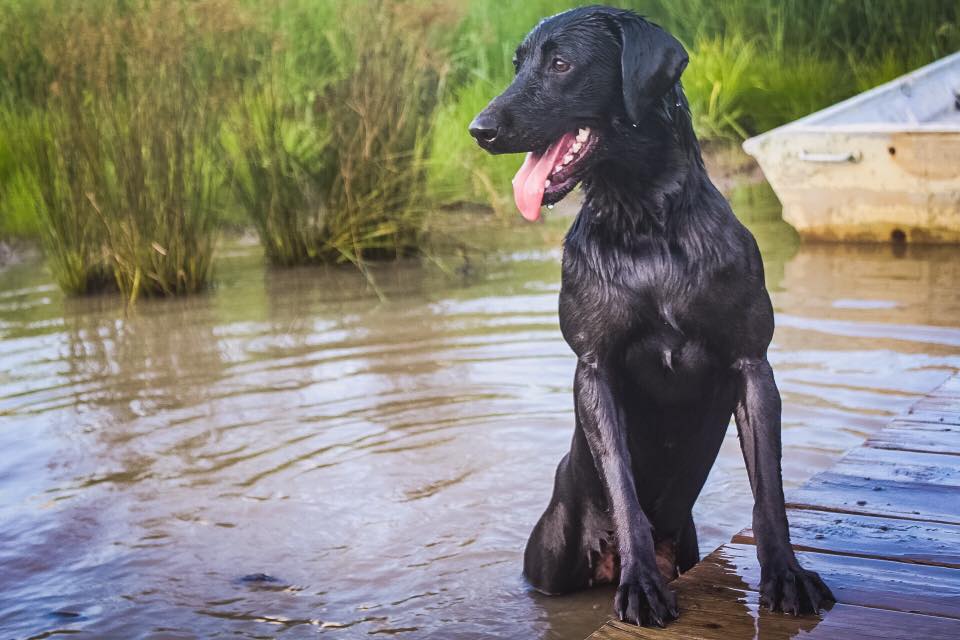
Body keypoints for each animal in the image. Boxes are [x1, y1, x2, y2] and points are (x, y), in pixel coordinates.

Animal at [468, 6, 836, 624]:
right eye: (518, 64)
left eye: (560, 64)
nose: (480, 128)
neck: (645, 225)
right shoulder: (595, 369)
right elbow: (623, 484)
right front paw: (640, 583)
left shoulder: (752, 363)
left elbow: (769, 490)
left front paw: (787, 575)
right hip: (547, 560)